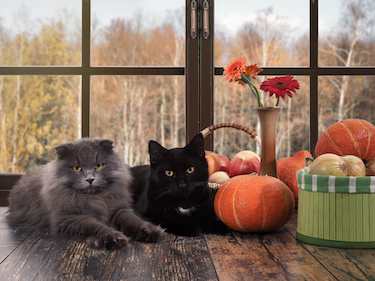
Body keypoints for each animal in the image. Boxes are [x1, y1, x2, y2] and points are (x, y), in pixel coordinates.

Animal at [6, 137, 166, 248]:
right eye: (77, 168)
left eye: (99, 165)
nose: (90, 179)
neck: (96, 199)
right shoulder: (71, 218)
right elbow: (95, 226)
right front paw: (114, 238)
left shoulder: (119, 209)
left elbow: (134, 221)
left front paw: (151, 232)